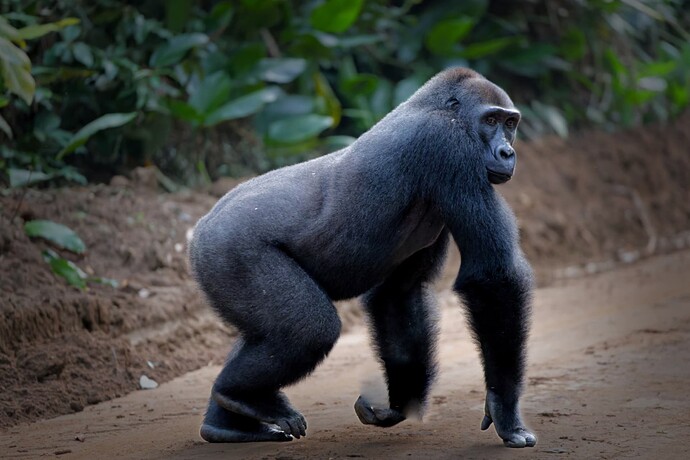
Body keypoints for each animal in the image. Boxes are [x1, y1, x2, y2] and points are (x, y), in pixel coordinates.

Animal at [188, 67, 536, 448]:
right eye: (490, 120)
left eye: (510, 123)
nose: (507, 152)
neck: (437, 107)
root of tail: (201, 227)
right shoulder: (448, 145)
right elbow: (493, 277)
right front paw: (504, 408)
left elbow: (399, 294)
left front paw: (401, 402)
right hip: (229, 251)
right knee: (308, 330)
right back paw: (242, 397)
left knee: (265, 335)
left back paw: (227, 422)